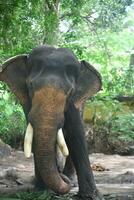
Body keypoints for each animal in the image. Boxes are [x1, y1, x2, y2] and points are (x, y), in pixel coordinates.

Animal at [0, 45, 102, 200]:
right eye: (30, 86)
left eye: (70, 91)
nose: (63, 180)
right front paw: (42, 191)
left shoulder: (74, 103)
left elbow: (76, 134)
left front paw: (90, 196)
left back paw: (69, 179)